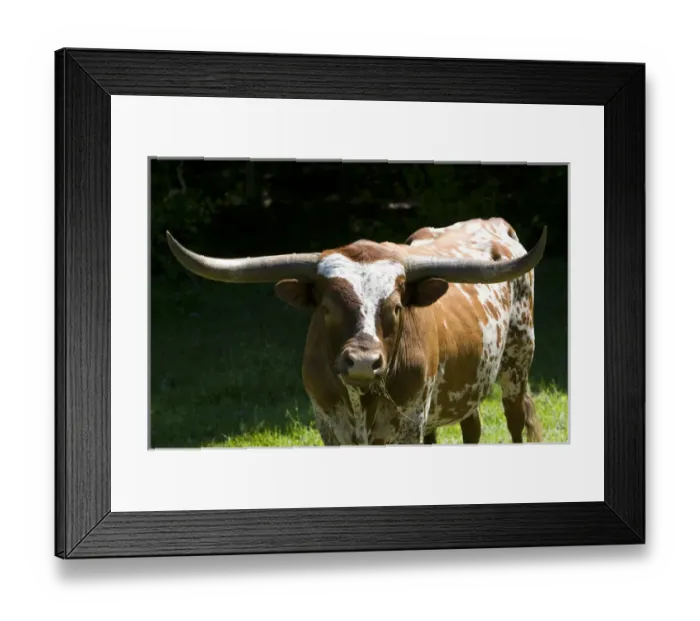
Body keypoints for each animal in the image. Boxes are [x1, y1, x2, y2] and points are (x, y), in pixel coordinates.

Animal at [166, 217, 546, 446]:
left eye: (396, 306)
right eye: (326, 308)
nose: (363, 362)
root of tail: (492, 223)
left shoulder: (407, 425)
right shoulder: (329, 425)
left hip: (517, 362)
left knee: (515, 420)